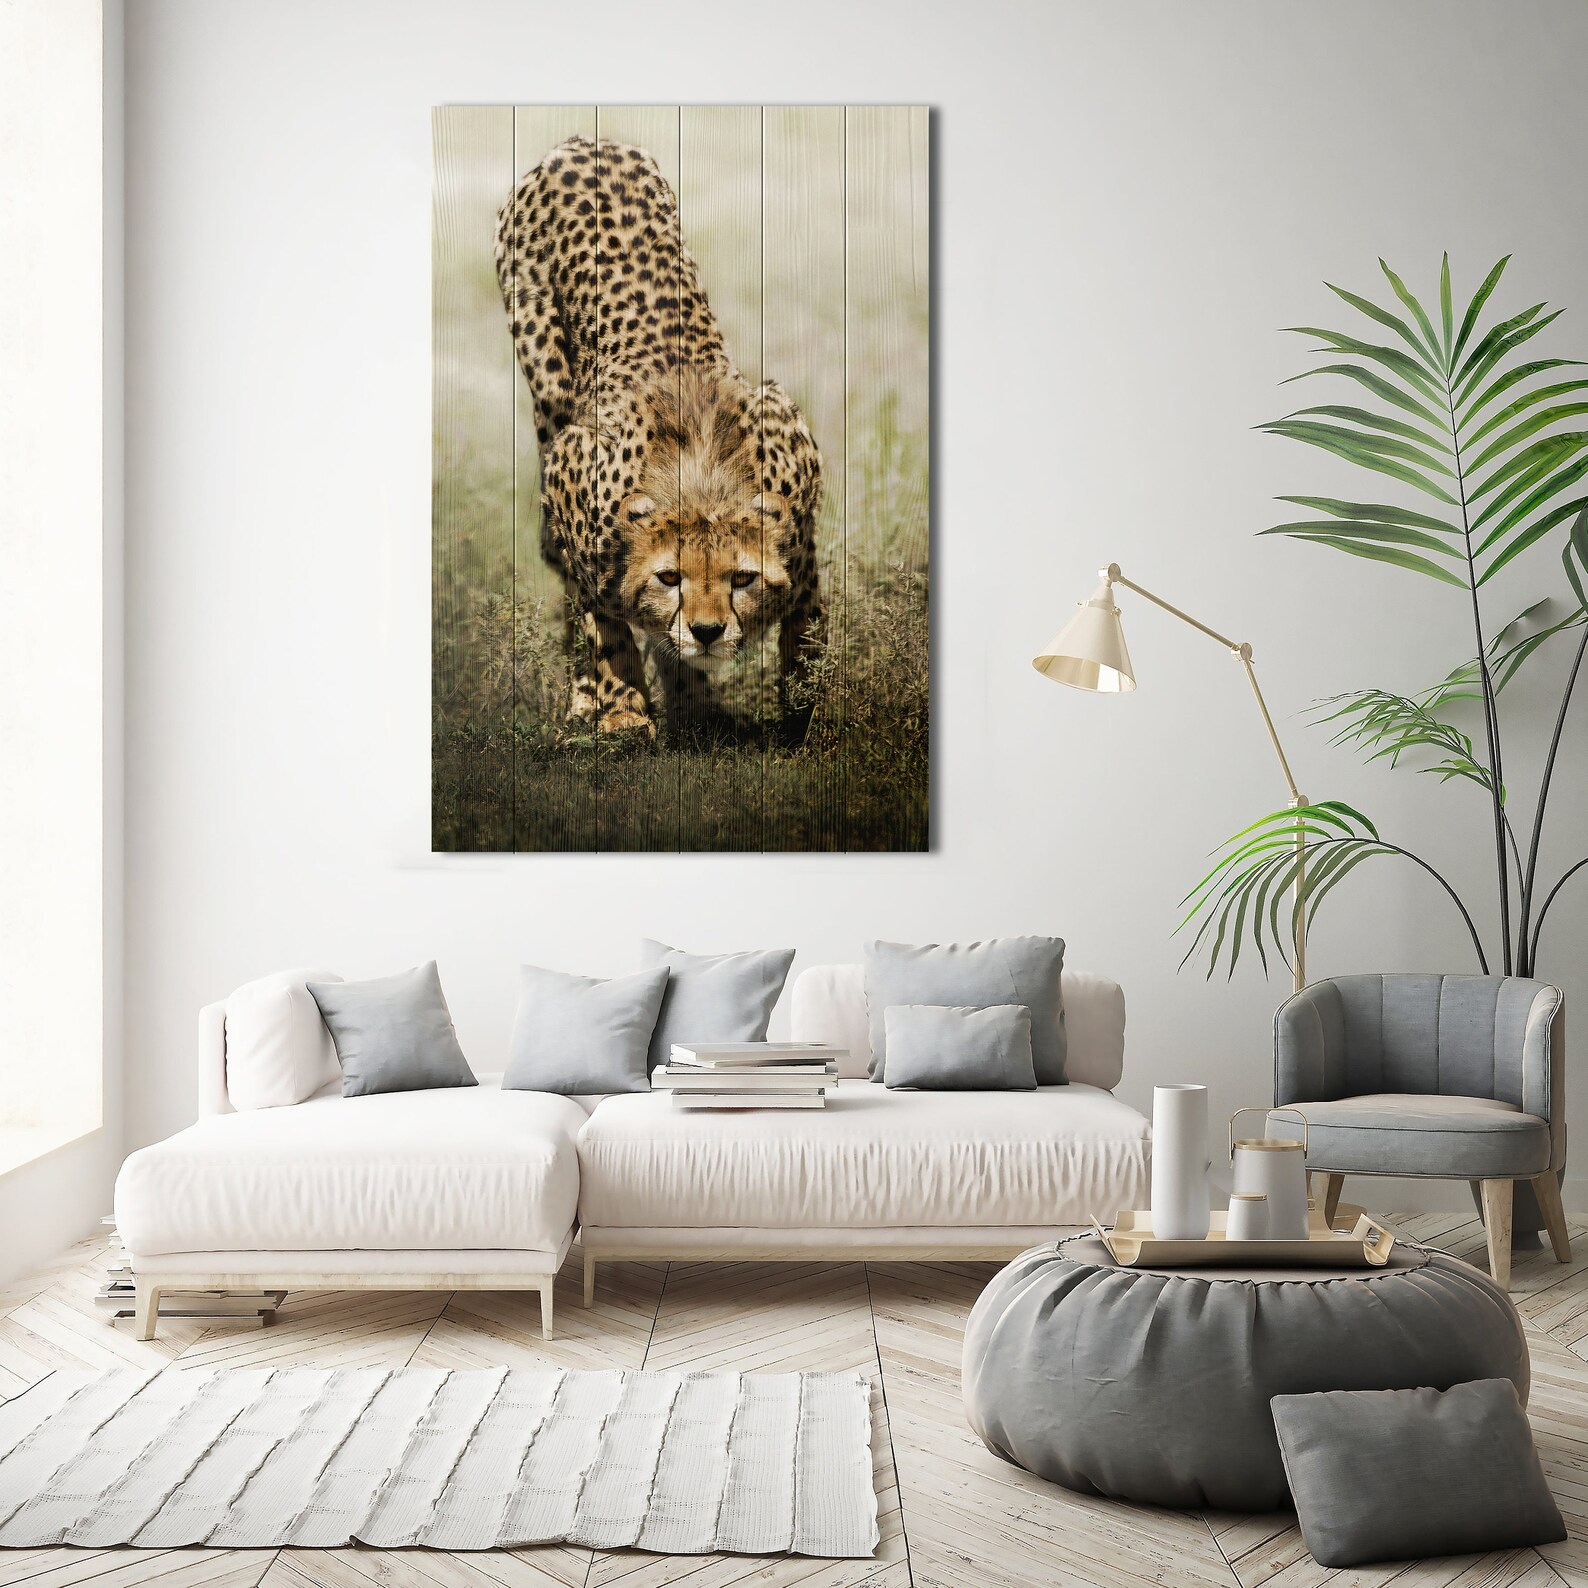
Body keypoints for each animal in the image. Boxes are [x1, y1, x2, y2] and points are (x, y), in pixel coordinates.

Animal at [494, 134, 824, 741]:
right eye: (669, 577)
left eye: (742, 577)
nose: (707, 631)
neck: (699, 484)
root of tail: (581, 141)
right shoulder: (571, 471)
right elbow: (603, 621)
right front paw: (623, 710)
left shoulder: (800, 529)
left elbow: (806, 629)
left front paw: (803, 709)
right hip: (548, 389)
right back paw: (592, 699)